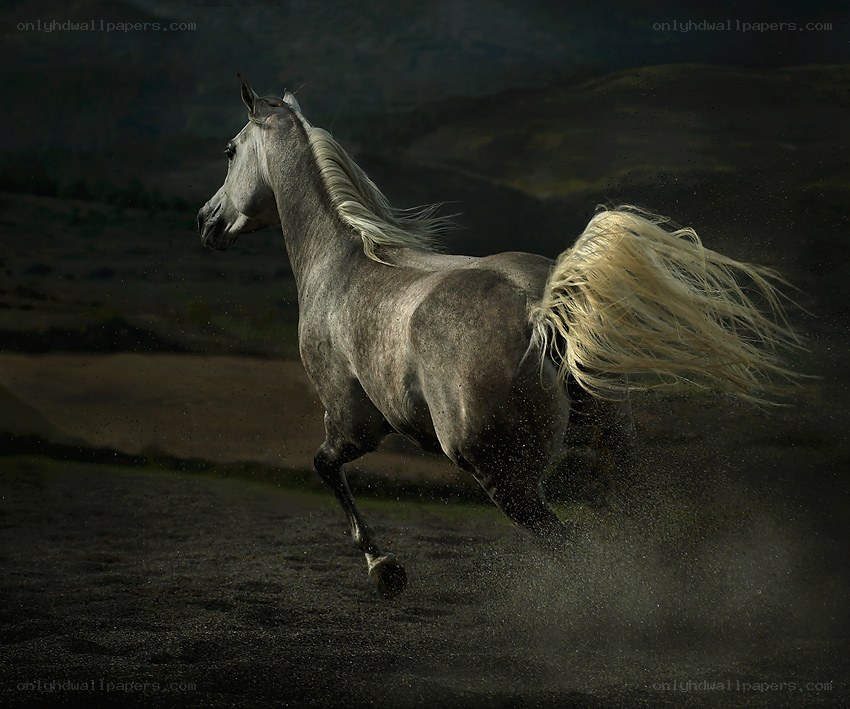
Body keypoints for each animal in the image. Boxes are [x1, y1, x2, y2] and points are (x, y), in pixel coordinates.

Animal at [197, 78, 801, 597]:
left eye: (229, 150)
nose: (206, 221)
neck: (342, 263)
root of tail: (541, 311)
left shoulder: (353, 424)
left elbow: (325, 468)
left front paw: (384, 567)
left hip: (503, 476)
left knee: (573, 549)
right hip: (613, 446)